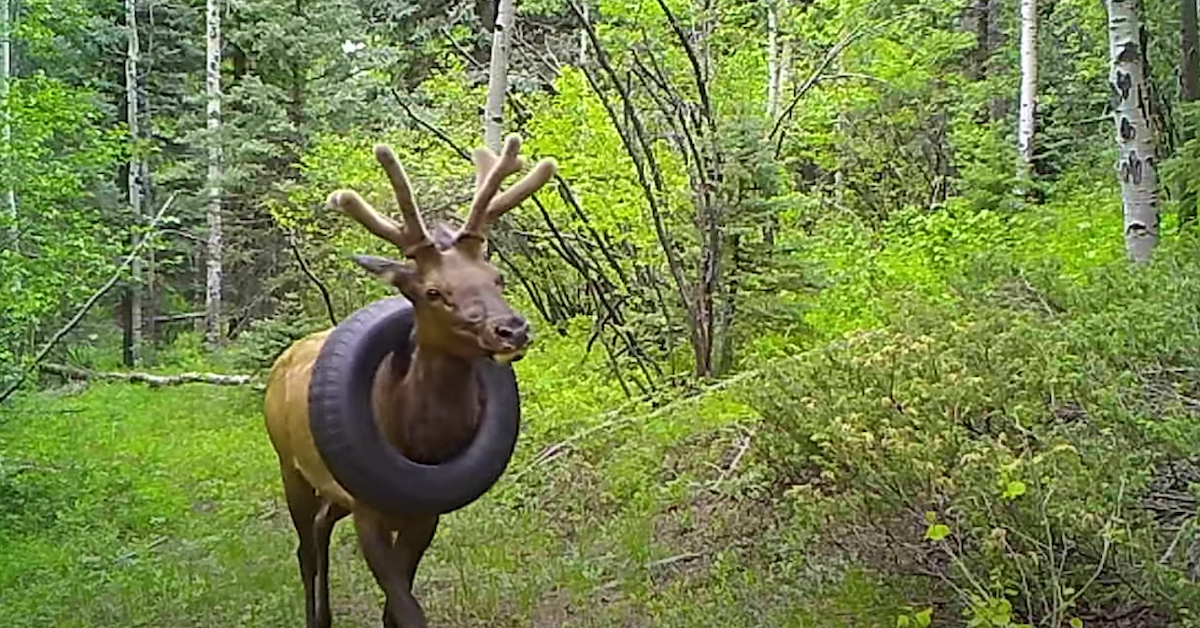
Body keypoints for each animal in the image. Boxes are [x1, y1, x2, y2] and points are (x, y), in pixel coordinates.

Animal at [265, 133, 554, 628]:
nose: (512, 329)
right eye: (433, 292)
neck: (414, 437)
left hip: (334, 490)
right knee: (305, 547)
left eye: (496, 277)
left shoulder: (425, 514)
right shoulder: (368, 511)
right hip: (291, 467)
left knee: (321, 527)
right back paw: (314, 617)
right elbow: (404, 604)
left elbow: (395, 608)